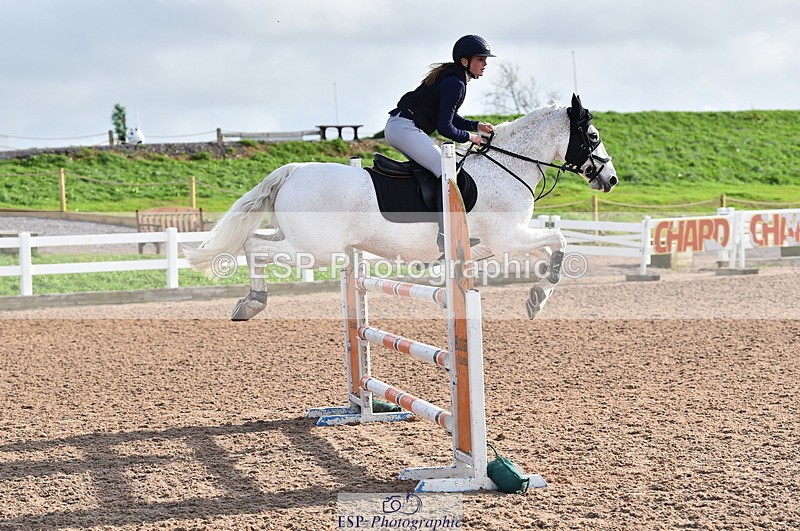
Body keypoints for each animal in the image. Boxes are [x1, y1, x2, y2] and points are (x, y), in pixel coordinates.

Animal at [188, 94, 617, 320]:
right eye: (593, 136)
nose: (610, 179)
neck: (506, 166)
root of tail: (293, 170)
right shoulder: (508, 238)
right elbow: (559, 240)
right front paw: (539, 296)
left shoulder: (499, 244)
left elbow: (549, 249)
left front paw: (535, 294)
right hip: (315, 250)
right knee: (254, 247)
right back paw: (252, 301)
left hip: (294, 237)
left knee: (255, 243)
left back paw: (249, 301)